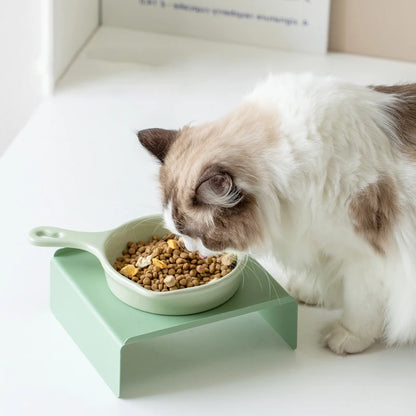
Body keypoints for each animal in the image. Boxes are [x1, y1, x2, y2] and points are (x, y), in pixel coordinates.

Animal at [137, 75, 416, 354]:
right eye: (179, 234)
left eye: (199, 237)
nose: (190, 249)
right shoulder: (321, 238)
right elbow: (327, 275)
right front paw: (310, 293)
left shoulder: (365, 256)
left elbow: (359, 304)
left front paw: (348, 337)